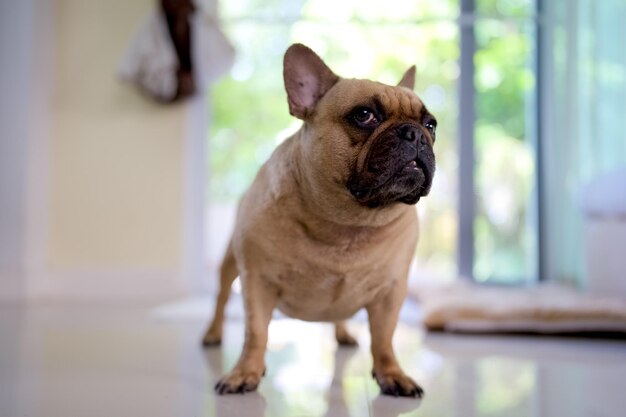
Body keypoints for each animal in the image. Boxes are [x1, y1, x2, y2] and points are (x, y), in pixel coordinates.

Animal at [202, 42, 436, 396]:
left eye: (431, 124)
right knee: (221, 297)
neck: (347, 224)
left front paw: (392, 374)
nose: (416, 134)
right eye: (364, 115)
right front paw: (245, 373)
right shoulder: (256, 282)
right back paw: (213, 334)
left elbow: (384, 338)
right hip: (230, 262)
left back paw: (344, 334)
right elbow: (255, 332)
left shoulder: (390, 292)